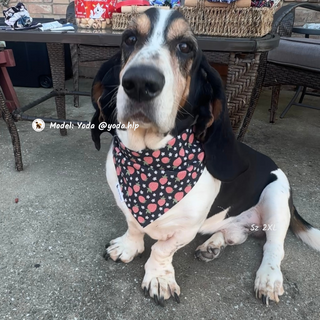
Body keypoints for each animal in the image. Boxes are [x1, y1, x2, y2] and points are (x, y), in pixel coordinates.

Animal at [90, 8, 320, 308]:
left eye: (186, 47)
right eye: (129, 38)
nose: (139, 82)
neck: (151, 159)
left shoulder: (187, 229)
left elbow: (162, 249)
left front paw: (159, 278)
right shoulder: (127, 207)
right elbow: (134, 227)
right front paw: (129, 246)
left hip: (276, 198)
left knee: (274, 247)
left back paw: (268, 279)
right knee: (237, 234)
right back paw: (213, 245)